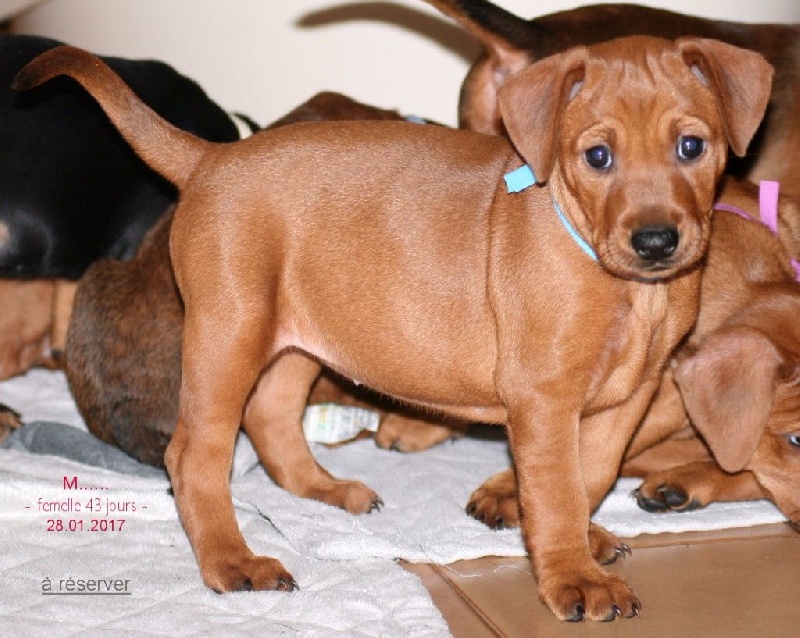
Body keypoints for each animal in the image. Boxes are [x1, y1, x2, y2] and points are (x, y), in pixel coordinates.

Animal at [16, 38, 770, 621]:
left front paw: (584, 539)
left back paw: (324, 489)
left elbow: (593, 474)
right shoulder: (545, 399)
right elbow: (555, 492)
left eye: (692, 146)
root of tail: (211, 159)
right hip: (228, 331)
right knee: (194, 455)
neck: (623, 286)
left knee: (272, 416)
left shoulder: (628, 396)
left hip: (296, 333)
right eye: (598, 157)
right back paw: (232, 561)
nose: (656, 241)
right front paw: (574, 577)